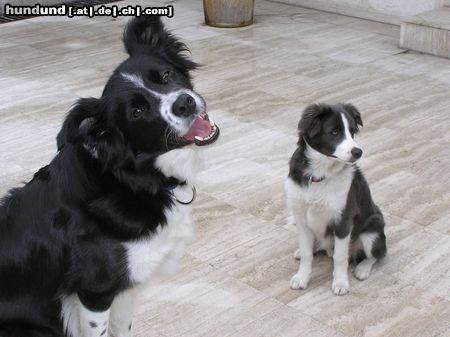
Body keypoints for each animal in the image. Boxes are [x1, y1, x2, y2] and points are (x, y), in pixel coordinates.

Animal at [0, 16, 219, 336]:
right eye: (137, 112)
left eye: (165, 75)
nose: (185, 103)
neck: (132, 180)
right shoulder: (96, 290)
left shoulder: (127, 285)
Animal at [284, 102, 386, 294]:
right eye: (334, 132)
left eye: (352, 132)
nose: (358, 152)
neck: (320, 173)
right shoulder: (301, 218)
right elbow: (307, 253)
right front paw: (302, 277)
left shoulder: (343, 221)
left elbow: (340, 257)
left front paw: (340, 283)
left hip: (372, 233)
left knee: (376, 255)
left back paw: (362, 269)